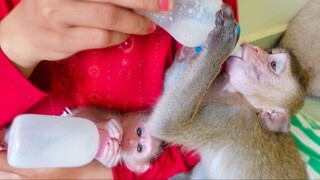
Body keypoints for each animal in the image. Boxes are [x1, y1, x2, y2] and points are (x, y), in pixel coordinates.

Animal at [147, 4, 308, 179]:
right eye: (270, 52)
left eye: (273, 65)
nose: (256, 48)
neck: (249, 104)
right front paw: (189, 53)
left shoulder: (232, 118)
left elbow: (165, 124)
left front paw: (221, 41)